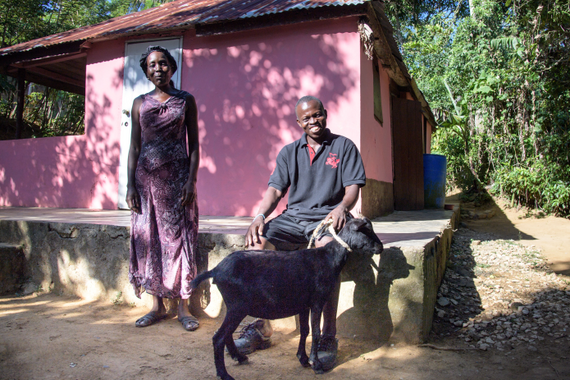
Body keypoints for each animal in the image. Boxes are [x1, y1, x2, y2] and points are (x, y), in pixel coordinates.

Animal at [190, 217, 382, 380]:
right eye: (366, 230)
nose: (380, 247)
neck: (329, 257)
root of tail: (215, 270)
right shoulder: (317, 301)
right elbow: (315, 332)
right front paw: (316, 364)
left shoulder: (304, 305)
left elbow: (305, 330)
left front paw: (303, 359)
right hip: (237, 306)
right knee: (219, 337)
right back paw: (224, 374)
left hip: (234, 307)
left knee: (226, 334)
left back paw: (239, 357)